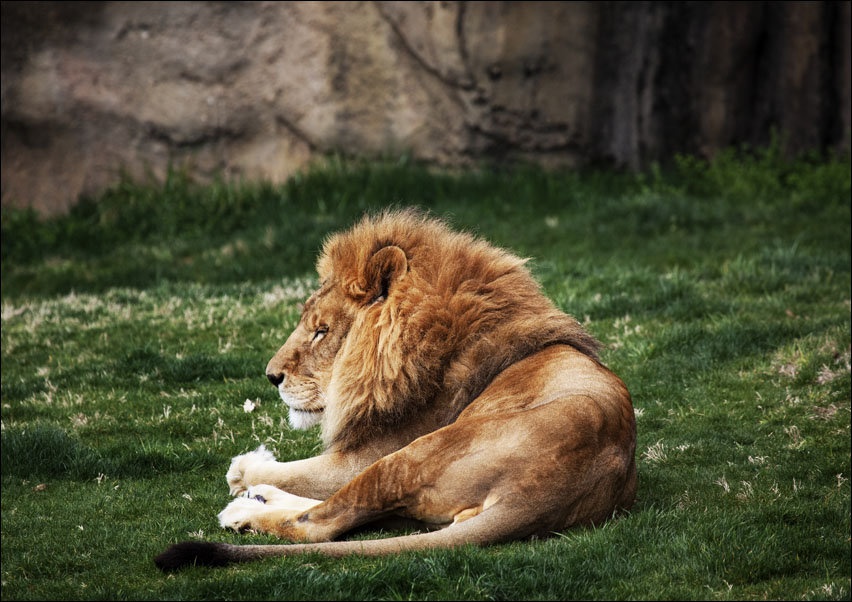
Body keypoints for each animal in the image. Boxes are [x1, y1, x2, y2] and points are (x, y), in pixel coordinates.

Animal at [155, 209, 636, 570]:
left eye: (321, 331)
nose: (271, 377)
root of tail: (540, 495)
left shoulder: (368, 452)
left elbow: (298, 474)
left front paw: (245, 469)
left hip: (412, 454)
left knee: (322, 521)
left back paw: (245, 509)